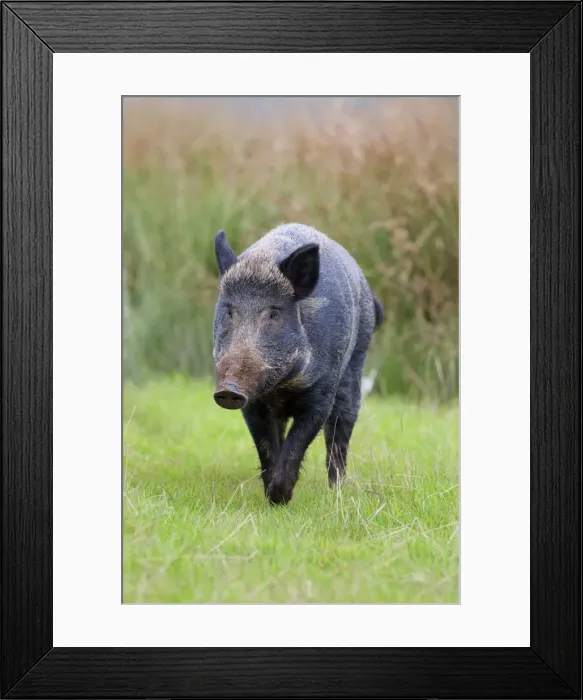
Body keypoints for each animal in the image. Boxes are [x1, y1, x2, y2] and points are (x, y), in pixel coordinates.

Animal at [212, 222, 383, 505]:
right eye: (229, 312)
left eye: (273, 314)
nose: (228, 390)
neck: (281, 388)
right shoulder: (254, 404)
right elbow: (267, 447)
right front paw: (271, 496)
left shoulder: (321, 395)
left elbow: (297, 444)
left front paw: (280, 498)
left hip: (356, 363)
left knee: (341, 431)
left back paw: (337, 492)